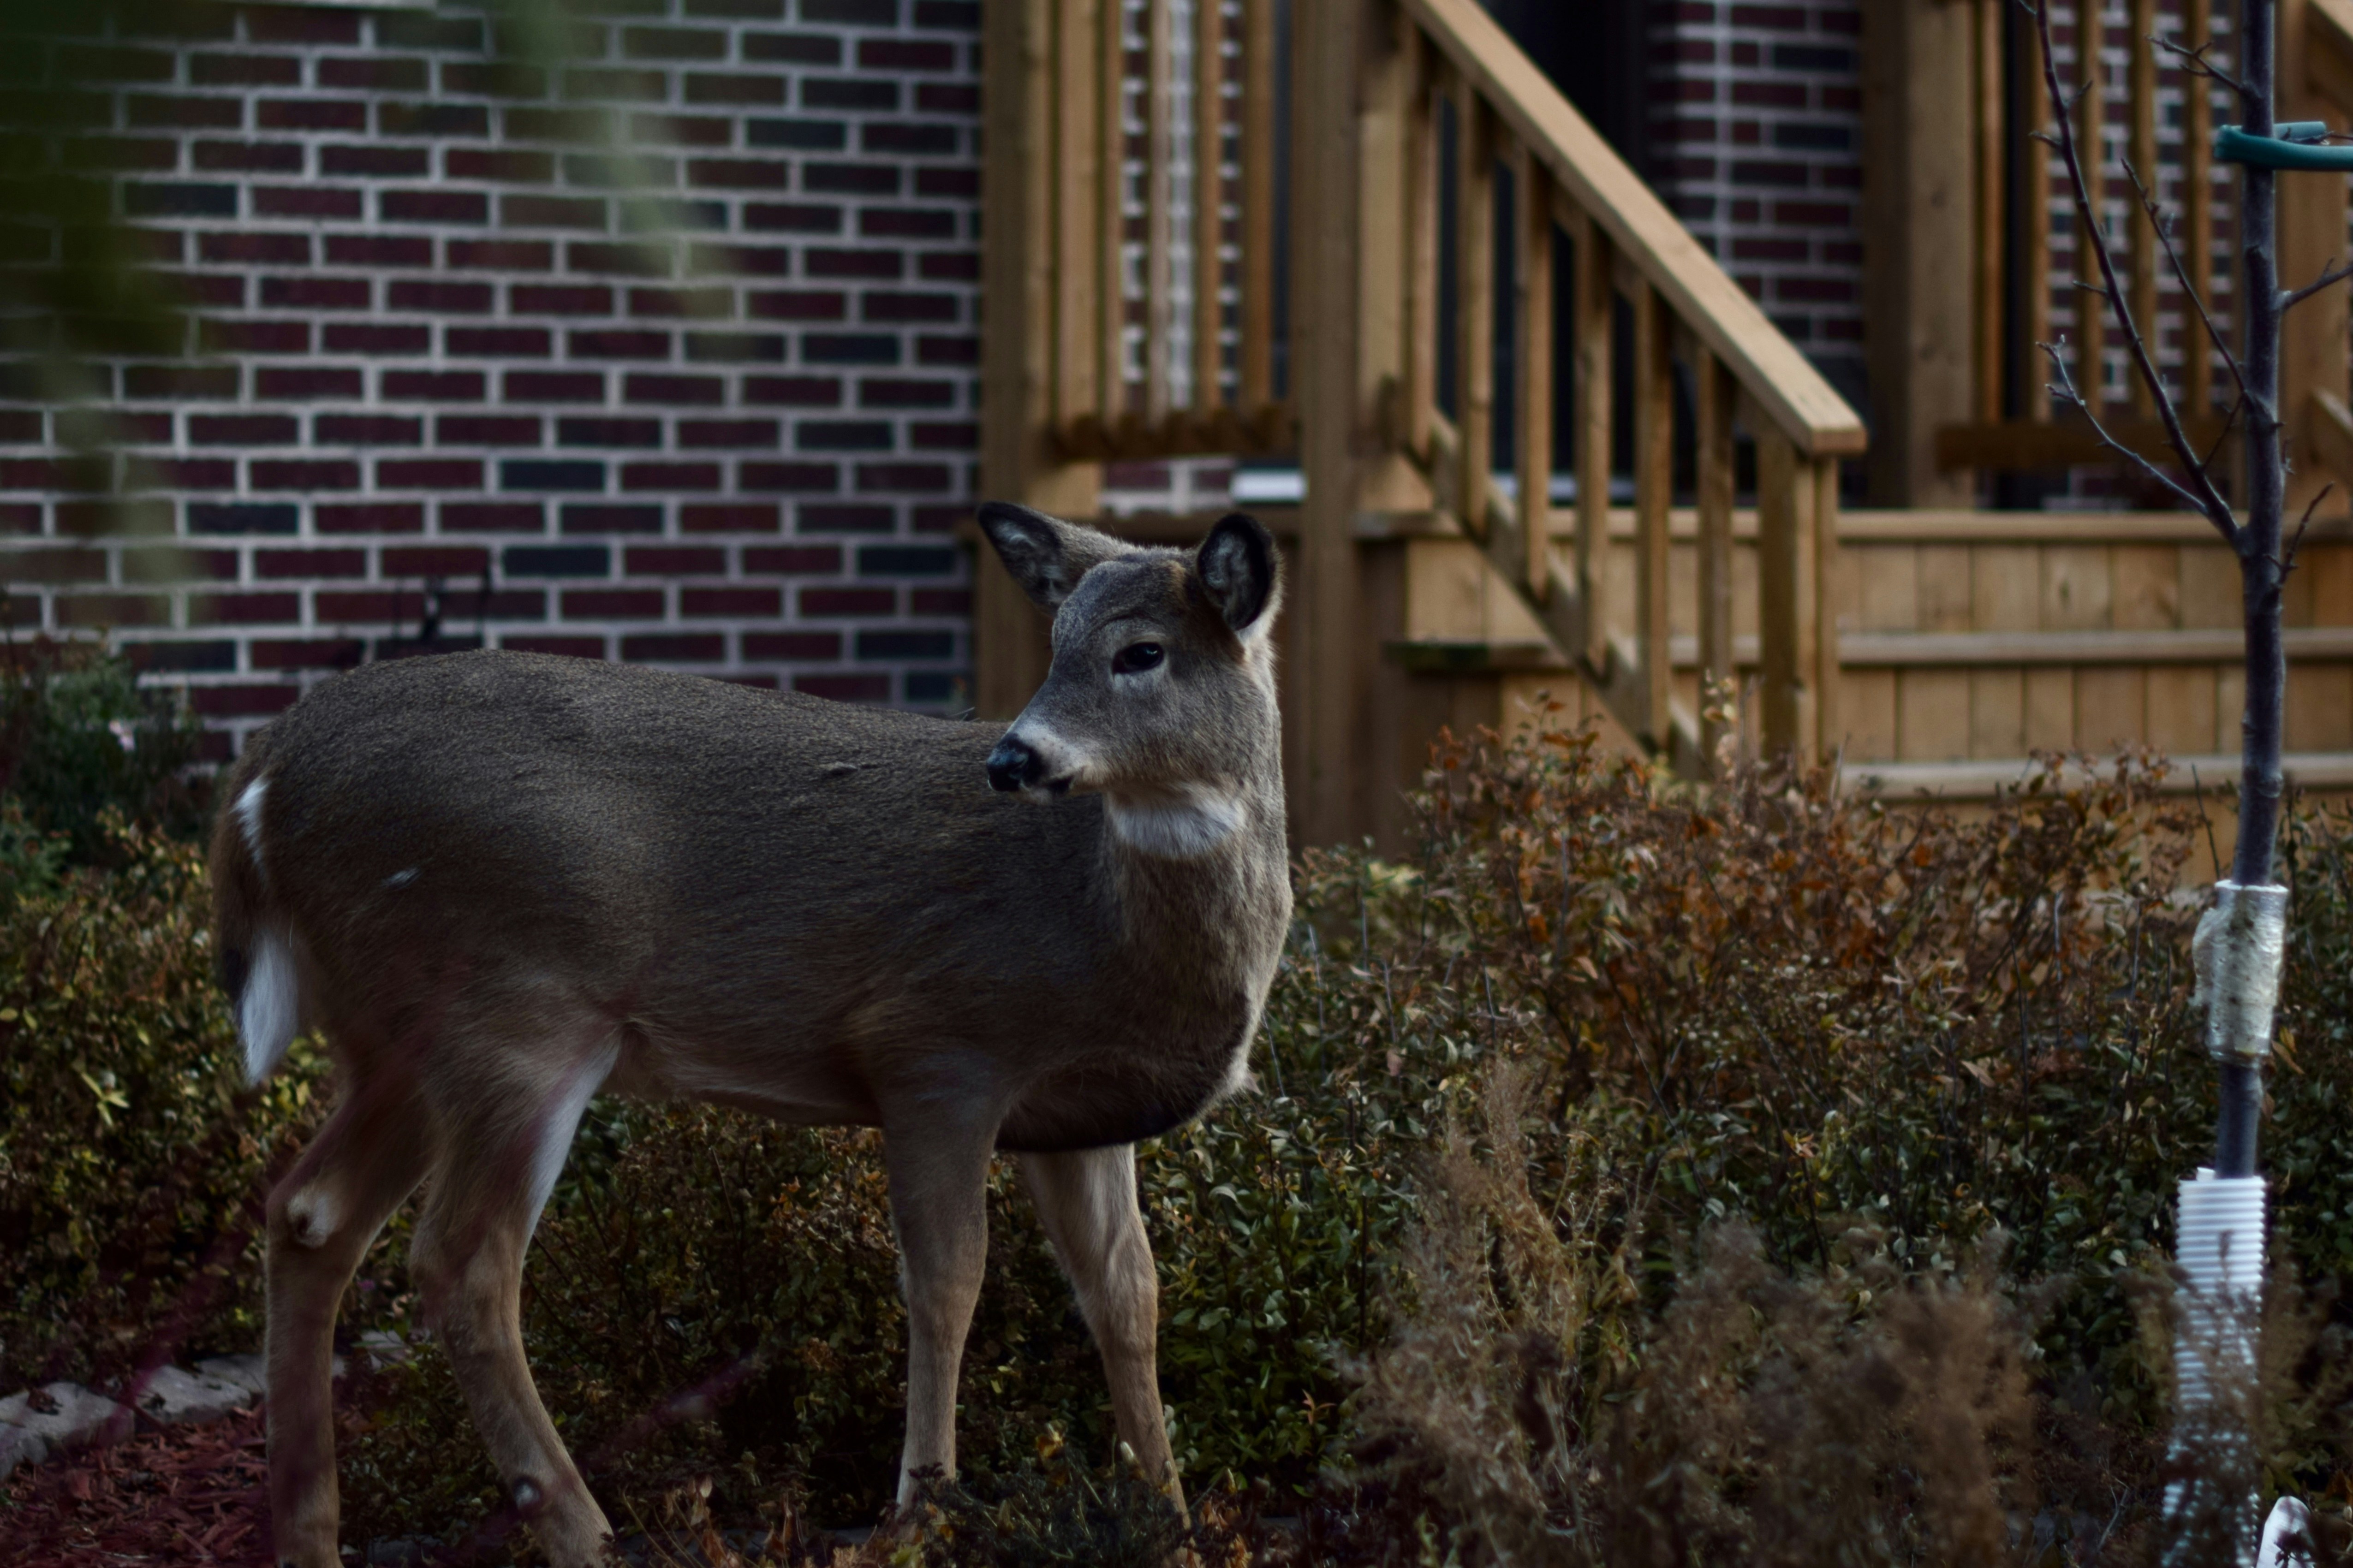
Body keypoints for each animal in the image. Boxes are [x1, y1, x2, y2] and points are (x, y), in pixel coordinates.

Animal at [207, 505, 1291, 1568]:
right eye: (1057, 640)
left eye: (1141, 652)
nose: (1013, 757)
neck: (1108, 925)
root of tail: (258, 782)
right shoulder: (937, 1045)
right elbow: (948, 1281)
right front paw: (920, 1517)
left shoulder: (1081, 1118)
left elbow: (1128, 1293)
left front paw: (1172, 1523)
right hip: (513, 1015)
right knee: (461, 1264)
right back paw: (585, 1532)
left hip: (398, 1040)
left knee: (309, 1214)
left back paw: (311, 1536)